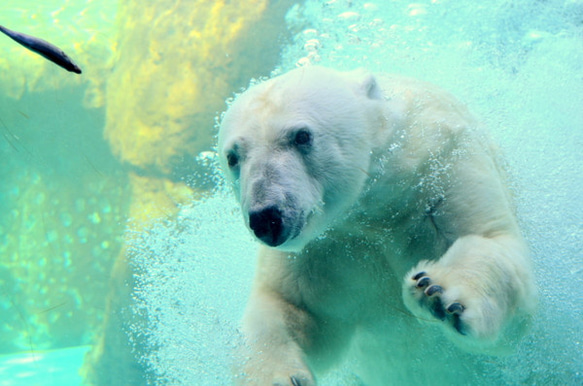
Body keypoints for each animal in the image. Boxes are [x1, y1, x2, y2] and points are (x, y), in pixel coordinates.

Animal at [220, 67, 540, 386]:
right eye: (232, 156)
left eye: (301, 136)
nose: (266, 217)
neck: (375, 206)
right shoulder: (325, 249)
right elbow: (291, 307)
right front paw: (276, 377)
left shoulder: (442, 165)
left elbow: (489, 240)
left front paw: (437, 293)